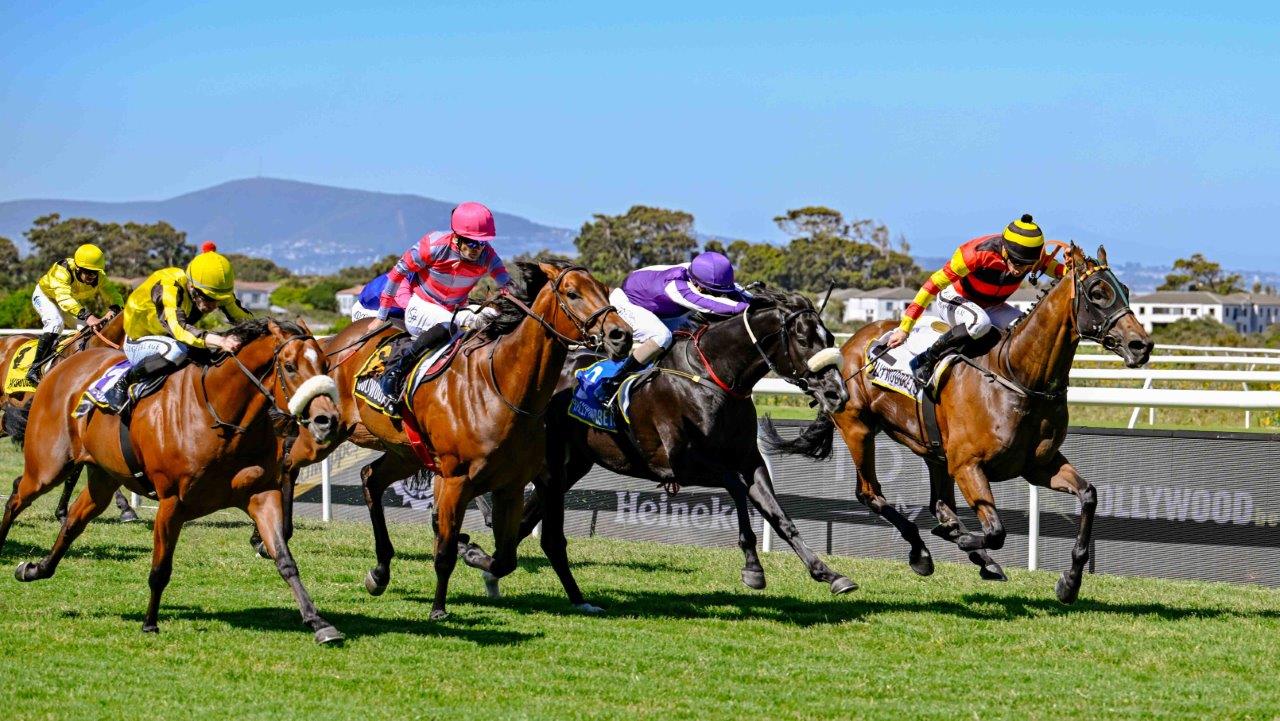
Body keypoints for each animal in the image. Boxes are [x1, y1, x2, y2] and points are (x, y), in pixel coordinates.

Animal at [0, 320, 345, 642]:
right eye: (290, 366)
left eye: (323, 363)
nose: (328, 420)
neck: (221, 417)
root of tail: (61, 366)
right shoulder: (172, 503)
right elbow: (160, 569)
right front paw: (150, 623)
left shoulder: (262, 494)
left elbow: (284, 559)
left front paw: (319, 623)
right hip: (48, 466)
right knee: (17, 495)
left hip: (104, 477)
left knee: (73, 521)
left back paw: (35, 568)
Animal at [293, 259, 632, 619]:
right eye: (572, 293)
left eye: (605, 290)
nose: (621, 335)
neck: (502, 388)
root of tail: (331, 344)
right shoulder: (454, 480)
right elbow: (445, 552)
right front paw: (439, 607)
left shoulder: (511, 486)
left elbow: (505, 558)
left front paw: (473, 552)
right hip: (326, 432)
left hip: (405, 453)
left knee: (370, 478)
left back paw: (380, 572)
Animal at [465, 288, 855, 609]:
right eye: (803, 338)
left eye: (829, 336)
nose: (837, 393)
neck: (713, 377)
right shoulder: (679, 463)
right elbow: (736, 488)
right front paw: (753, 568)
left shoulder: (749, 459)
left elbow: (779, 516)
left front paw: (829, 574)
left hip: (572, 464)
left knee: (526, 519)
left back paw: (484, 565)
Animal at [762, 245, 1157, 607]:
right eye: (1097, 292)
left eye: (1123, 287)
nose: (1142, 344)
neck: (1016, 375)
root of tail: (851, 345)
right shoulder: (969, 465)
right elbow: (996, 530)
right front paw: (966, 540)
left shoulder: (1039, 465)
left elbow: (1089, 495)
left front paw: (1070, 582)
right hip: (858, 428)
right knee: (870, 493)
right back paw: (923, 552)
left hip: (933, 450)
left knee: (939, 504)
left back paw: (971, 553)